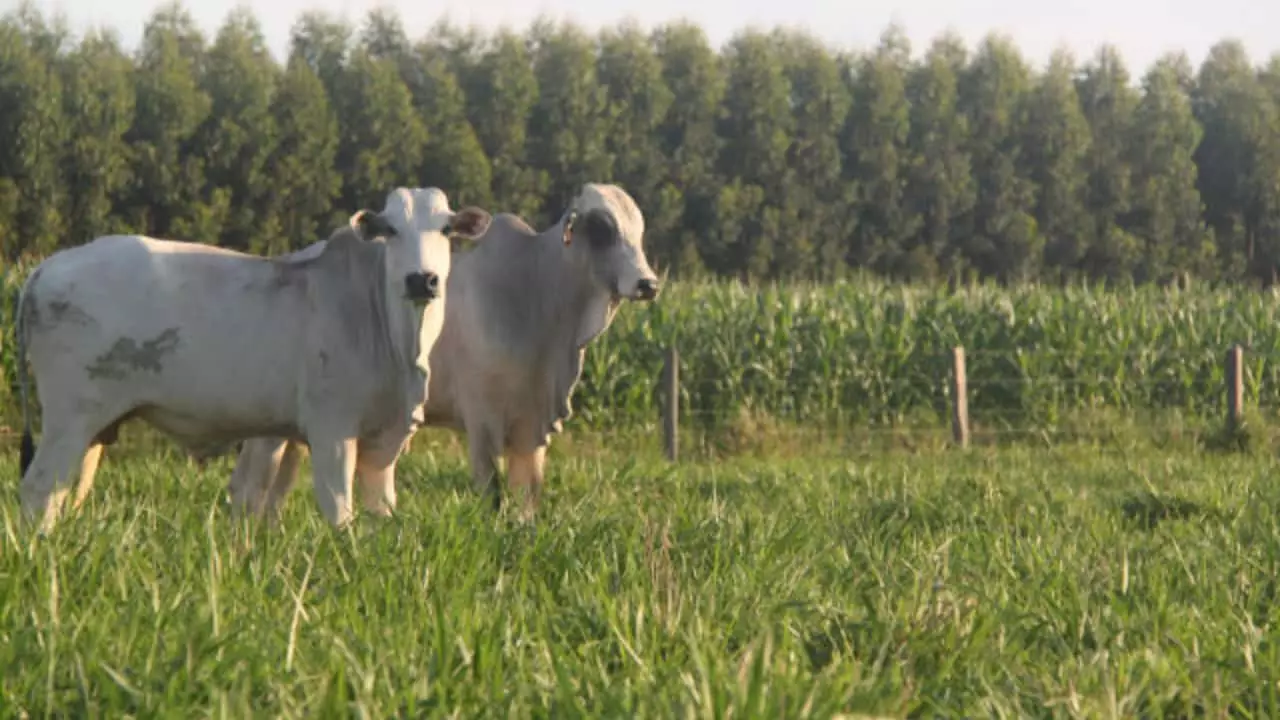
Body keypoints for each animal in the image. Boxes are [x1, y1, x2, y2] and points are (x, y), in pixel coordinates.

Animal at [13, 188, 488, 530]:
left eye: (447, 229)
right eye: (389, 229)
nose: (421, 279)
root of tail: (43, 270)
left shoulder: (382, 442)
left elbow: (380, 513)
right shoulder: (331, 430)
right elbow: (338, 512)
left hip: (93, 429)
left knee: (64, 492)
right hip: (69, 419)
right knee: (38, 491)